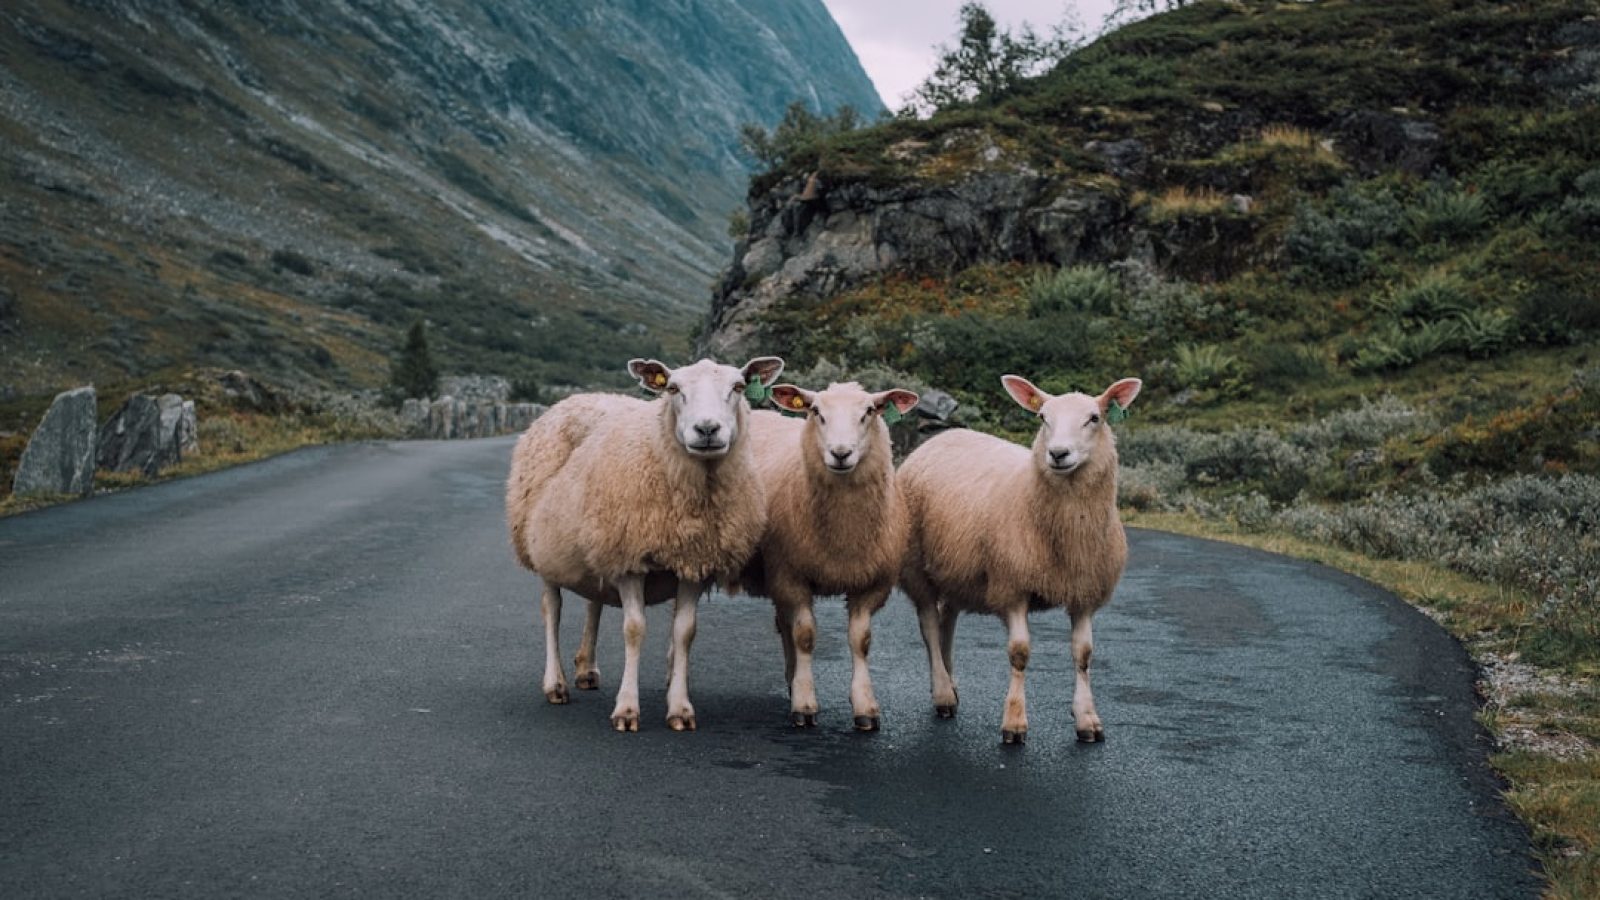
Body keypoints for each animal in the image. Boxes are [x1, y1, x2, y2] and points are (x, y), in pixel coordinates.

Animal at [505, 356, 784, 732]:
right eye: (673, 388)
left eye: (738, 387)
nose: (707, 430)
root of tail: (581, 397)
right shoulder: (631, 560)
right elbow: (634, 629)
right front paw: (626, 709)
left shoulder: (693, 561)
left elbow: (684, 632)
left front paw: (680, 708)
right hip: (542, 546)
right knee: (553, 609)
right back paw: (555, 683)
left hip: (599, 541)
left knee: (594, 602)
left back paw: (586, 668)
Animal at [737, 381, 919, 730]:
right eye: (816, 411)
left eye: (869, 412)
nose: (840, 453)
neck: (844, 536)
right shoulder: (792, 576)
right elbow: (805, 636)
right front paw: (805, 705)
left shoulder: (872, 583)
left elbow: (861, 641)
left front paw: (865, 707)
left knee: (784, 625)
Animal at [898, 375, 1142, 744]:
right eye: (1043, 417)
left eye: (1094, 418)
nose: (1058, 454)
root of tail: (944, 435)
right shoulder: (1012, 586)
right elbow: (1020, 653)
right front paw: (1014, 723)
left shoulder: (1084, 592)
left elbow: (1084, 655)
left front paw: (1088, 720)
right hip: (917, 568)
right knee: (928, 624)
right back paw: (942, 694)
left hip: (958, 569)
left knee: (946, 622)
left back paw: (951, 684)